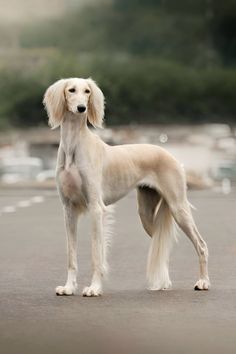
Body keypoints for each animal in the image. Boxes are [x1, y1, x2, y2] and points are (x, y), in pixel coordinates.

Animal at [43, 76, 209, 296]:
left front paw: (94, 288)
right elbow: (71, 255)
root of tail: (172, 157)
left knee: (201, 245)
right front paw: (69, 287)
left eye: (87, 91)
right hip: (146, 214)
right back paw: (163, 282)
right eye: (71, 90)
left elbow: (97, 253)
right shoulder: (68, 208)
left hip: (178, 207)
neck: (74, 147)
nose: (81, 108)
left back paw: (203, 282)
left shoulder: (96, 208)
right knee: (161, 246)